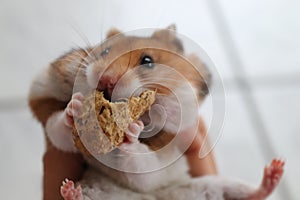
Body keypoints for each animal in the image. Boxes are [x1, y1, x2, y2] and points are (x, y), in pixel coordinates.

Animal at [28, 25, 216, 200]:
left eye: (147, 60)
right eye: (104, 51)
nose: (106, 79)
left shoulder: (165, 159)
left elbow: (144, 167)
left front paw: (132, 131)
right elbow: (58, 130)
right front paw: (75, 106)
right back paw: (70, 190)